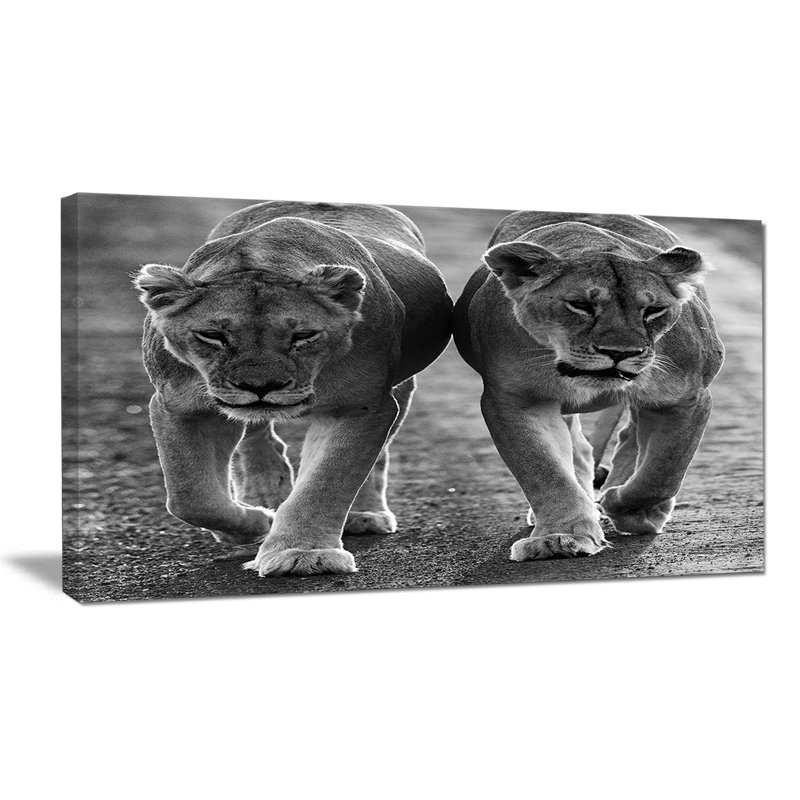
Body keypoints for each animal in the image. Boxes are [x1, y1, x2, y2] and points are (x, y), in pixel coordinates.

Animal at [135, 201, 452, 576]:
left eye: (303, 336)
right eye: (212, 335)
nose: (260, 386)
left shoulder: (360, 405)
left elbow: (326, 481)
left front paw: (302, 554)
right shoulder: (179, 405)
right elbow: (190, 496)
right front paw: (257, 524)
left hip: (401, 385)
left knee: (377, 456)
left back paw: (363, 514)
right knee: (254, 440)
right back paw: (264, 496)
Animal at [453, 211, 724, 560]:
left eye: (653, 310)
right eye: (580, 305)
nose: (621, 354)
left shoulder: (686, 399)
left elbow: (663, 471)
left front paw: (630, 510)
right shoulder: (516, 399)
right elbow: (544, 470)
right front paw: (560, 537)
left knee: (633, 440)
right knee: (581, 448)